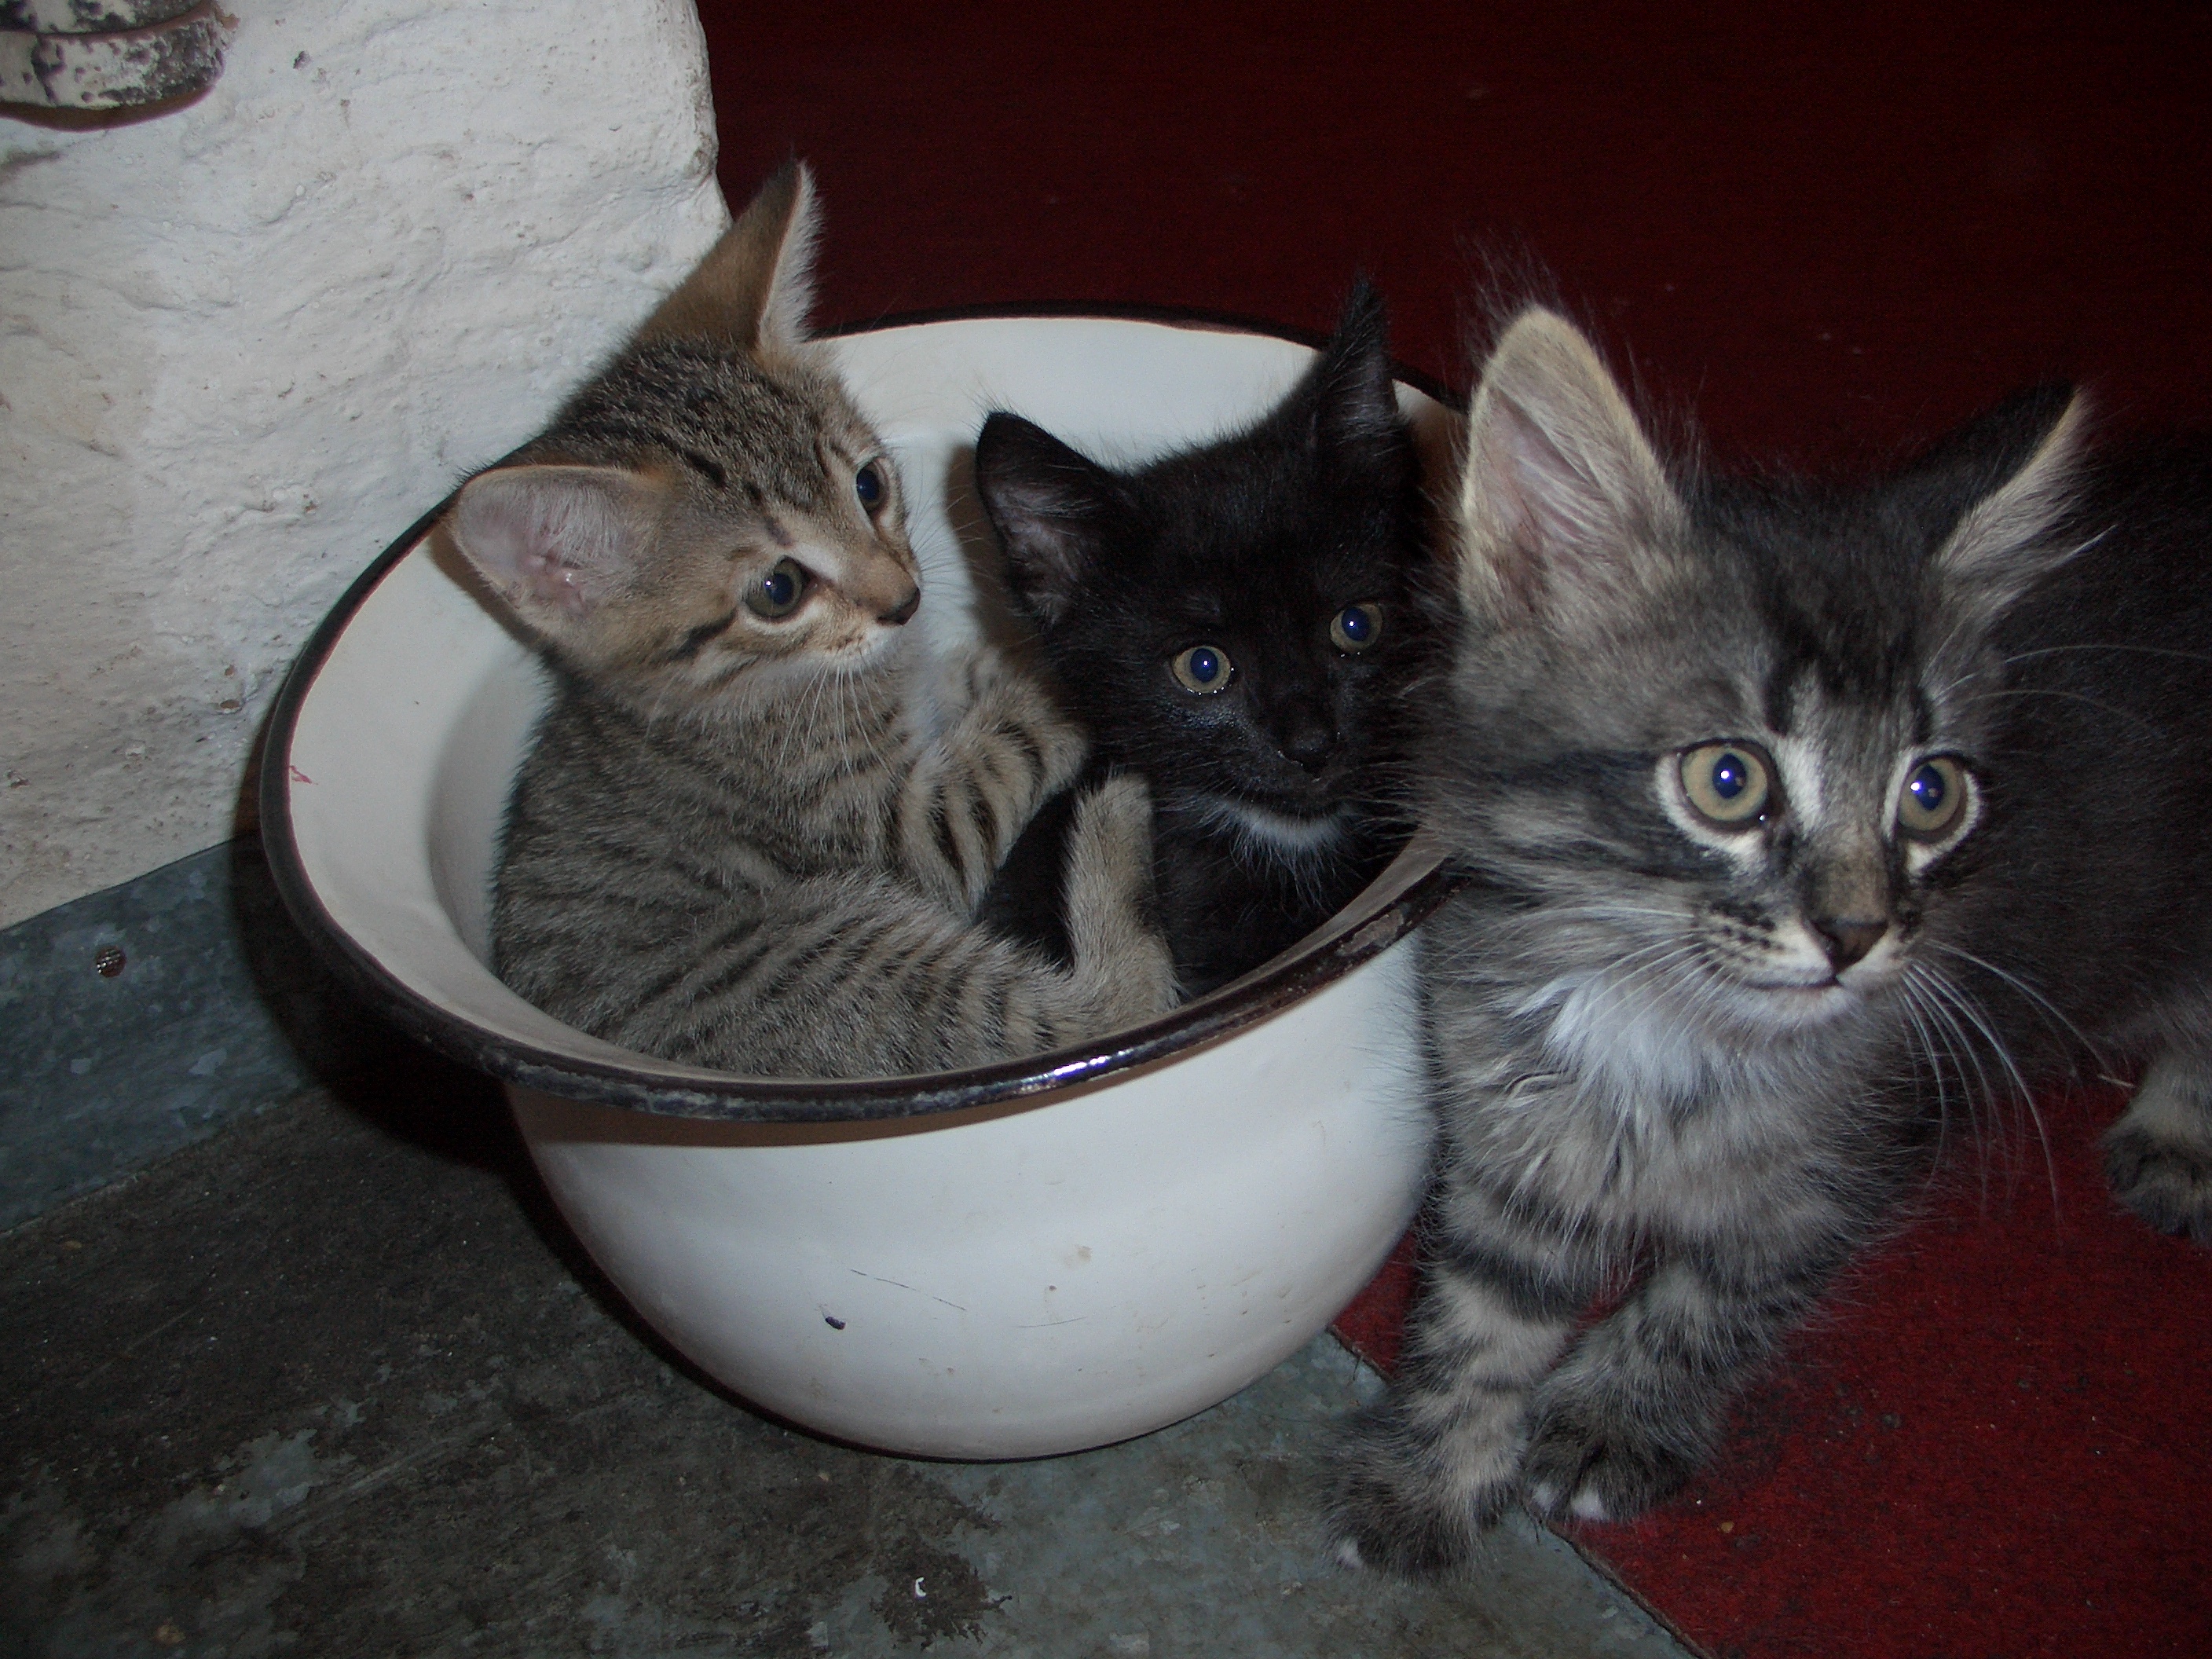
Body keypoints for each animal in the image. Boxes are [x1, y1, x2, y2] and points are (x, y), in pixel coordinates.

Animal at [444, 162, 1177, 1078]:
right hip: (837, 959)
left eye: (869, 486)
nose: (904, 600)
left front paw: (990, 656)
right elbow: (1001, 754)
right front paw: (1052, 671)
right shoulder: (899, 831)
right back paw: (1115, 830)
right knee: (1104, 1016)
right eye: (778, 590)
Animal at [1327, 304, 2212, 1573]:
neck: (1659, 1021)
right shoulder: (1508, 1135)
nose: (1854, 932)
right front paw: (1432, 1474)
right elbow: (1481, 1316)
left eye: (1930, 796)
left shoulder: (1848, 1163)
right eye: (1727, 781)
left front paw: (1612, 1416)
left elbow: (1709, 1304)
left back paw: (2182, 1131)